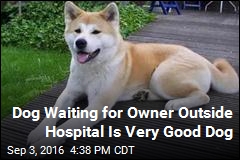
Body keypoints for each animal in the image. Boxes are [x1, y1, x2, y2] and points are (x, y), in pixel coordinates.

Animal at [26, 1, 238, 158]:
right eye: (77, 31)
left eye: (96, 32)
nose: (80, 43)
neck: (92, 68)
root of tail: (203, 58)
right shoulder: (69, 93)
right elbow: (51, 114)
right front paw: (38, 132)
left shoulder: (97, 105)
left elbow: (67, 126)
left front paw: (45, 143)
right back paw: (143, 94)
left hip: (161, 75)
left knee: (203, 95)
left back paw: (177, 104)